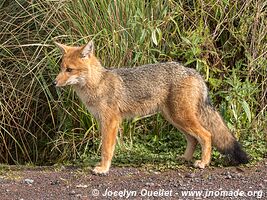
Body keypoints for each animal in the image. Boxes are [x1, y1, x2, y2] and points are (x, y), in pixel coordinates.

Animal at [53, 39, 250, 174]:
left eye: (69, 70)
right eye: (61, 68)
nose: (54, 83)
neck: (98, 83)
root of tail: (193, 71)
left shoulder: (111, 122)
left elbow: (106, 149)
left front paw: (103, 168)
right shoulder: (104, 122)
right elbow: (107, 148)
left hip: (181, 118)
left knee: (207, 135)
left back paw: (203, 163)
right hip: (175, 119)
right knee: (193, 139)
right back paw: (185, 159)